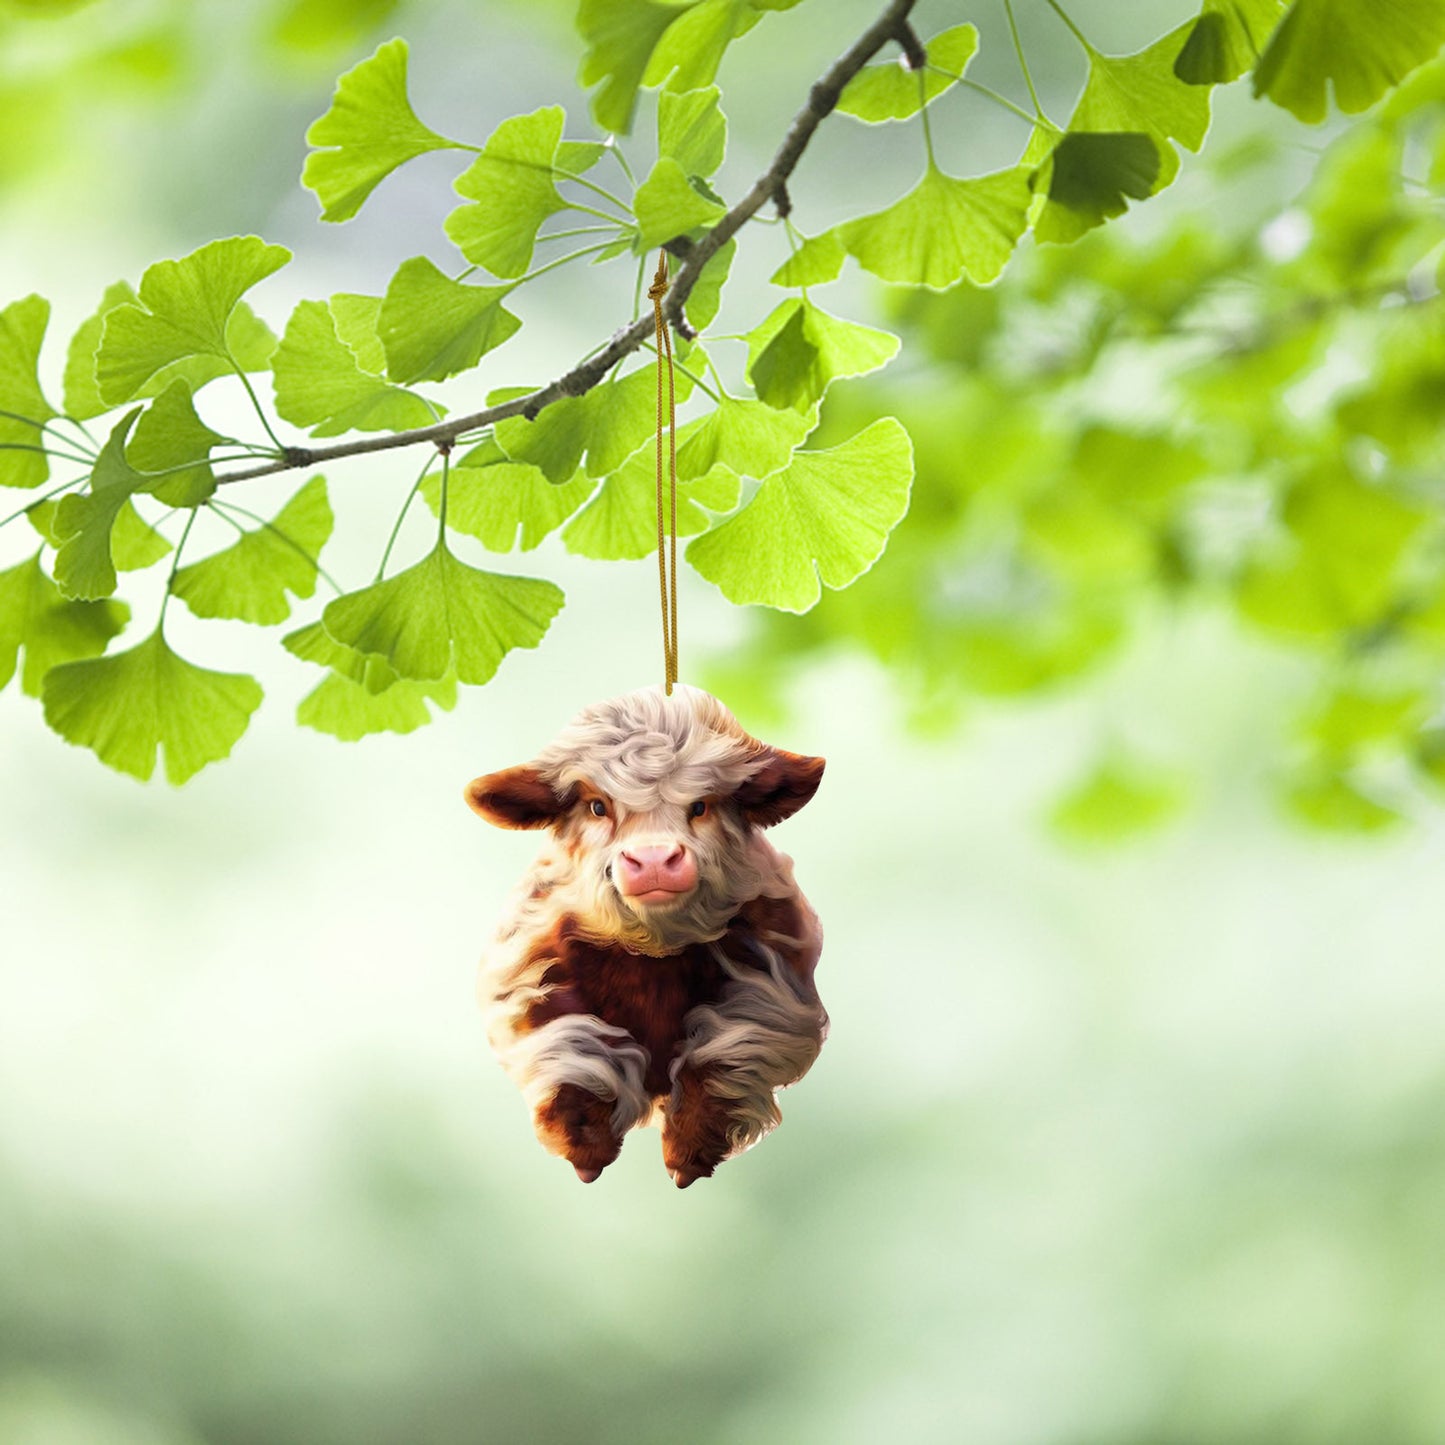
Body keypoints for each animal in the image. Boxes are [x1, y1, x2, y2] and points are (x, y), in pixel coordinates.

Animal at [465, 684, 826, 1184]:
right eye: (597, 805)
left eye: (701, 805)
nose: (654, 860)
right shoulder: (532, 974)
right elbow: (574, 1047)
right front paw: (586, 1152)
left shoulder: (771, 983)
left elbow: (723, 1052)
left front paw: (687, 1157)